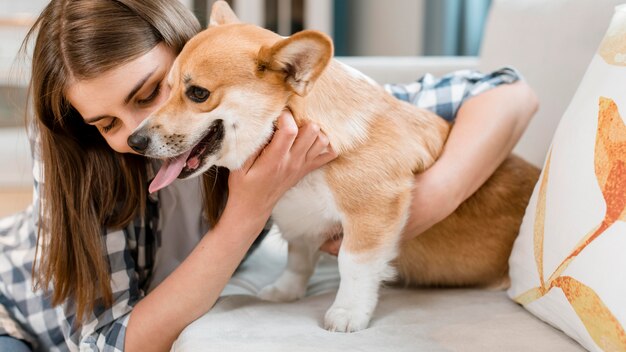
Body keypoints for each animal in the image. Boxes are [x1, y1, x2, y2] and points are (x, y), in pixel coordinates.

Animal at [127, 1, 536, 332]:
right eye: (161, 90)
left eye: (198, 94)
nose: (135, 141)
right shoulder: (300, 223)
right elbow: (297, 259)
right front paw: (286, 291)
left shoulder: (371, 212)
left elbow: (353, 265)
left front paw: (347, 314)